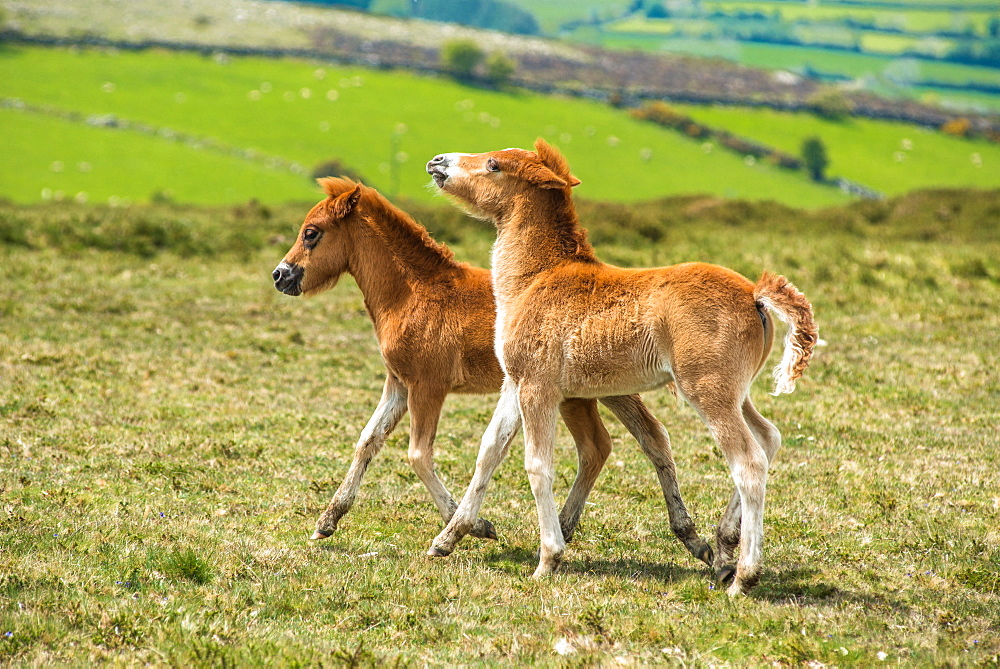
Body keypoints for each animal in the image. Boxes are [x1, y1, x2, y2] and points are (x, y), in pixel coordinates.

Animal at [272, 177, 712, 564]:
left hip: (587, 390)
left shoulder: (428, 386)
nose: (280, 275)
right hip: (596, 389)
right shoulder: (397, 383)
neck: (412, 293)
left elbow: (418, 455)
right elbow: (368, 441)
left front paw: (471, 526)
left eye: (311, 233)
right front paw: (327, 521)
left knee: (616, 443)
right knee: (626, 442)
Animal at [426, 141, 816, 596]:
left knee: (749, 463)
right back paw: (723, 543)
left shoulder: (538, 387)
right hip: (737, 392)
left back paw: (743, 576)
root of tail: (756, 294)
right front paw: (447, 539)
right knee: (768, 438)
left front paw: (548, 559)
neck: (534, 278)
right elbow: (489, 451)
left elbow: (537, 465)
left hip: (707, 390)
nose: (437, 162)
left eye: (493, 164)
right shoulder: (514, 382)